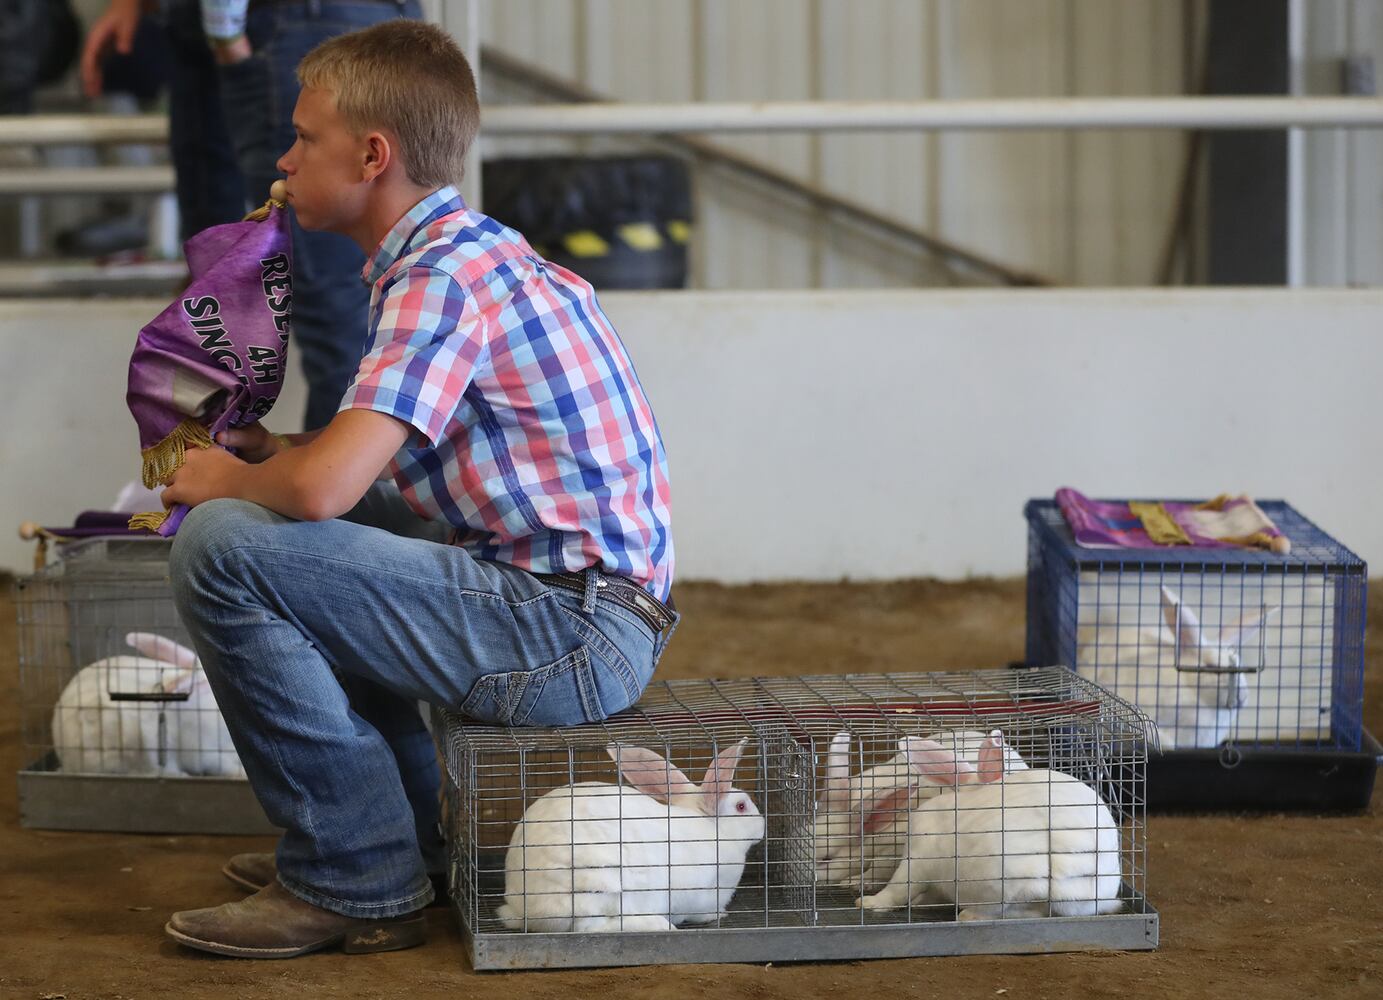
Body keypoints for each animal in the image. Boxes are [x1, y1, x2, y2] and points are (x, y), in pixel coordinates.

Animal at [495, 741, 763, 934]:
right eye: (741, 806)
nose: (762, 826)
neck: (714, 831)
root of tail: (524, 908)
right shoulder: (699, 897)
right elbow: (700, 912)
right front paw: (719, 914)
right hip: (601, 888)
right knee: (591, 928)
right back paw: (658, 925)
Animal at [851, 730, 1122, 923]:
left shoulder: (918, 861)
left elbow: (898, 888)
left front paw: (869, 903)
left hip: (1003, 885)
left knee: (1006, 911)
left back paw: (969, 914)